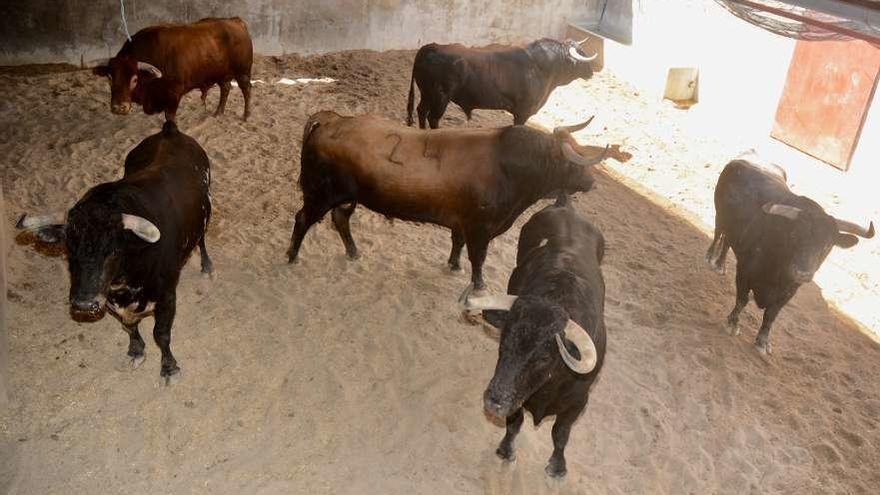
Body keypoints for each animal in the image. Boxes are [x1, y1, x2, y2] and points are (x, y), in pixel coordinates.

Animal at [91, 17, 253, 122]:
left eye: (134, 79)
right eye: (110, 78)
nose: (119, 107)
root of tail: (235, 21)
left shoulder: (175, 93)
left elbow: (169, 117)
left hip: (242, 72)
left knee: (246, 89)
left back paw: (246, 115)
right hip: (221, 74)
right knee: (225, 88)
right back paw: (218, 112)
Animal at [288, 110, 612, 292]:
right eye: (572, 161)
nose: (591, 182)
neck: (508, 167)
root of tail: (333, 120)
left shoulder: (461, 222)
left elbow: (457, 243)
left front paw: (454, 265)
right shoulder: (480, 227)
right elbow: (478, 257)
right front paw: (478, 285)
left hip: (347, 197)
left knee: (340, 219)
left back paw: (353, 253)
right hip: (321, 194)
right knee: (303, 219)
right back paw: (292, 257)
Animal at [406, 38, 600, 129]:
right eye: (581, 56)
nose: (591, 72)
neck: (542, 67)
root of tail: (432, 47)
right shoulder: (523, 112)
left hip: (427, 93)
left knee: (421, 111)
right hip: (440, 97)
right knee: (433, 117)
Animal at [458, 196, 608, 478]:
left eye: (543, 358)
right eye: (504, 343)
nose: (494, 401)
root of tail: (564, 204)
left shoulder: (578, 403)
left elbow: (560, 433)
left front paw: (557, 466)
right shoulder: (518, 402)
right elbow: (514, 423)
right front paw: (506, 450)